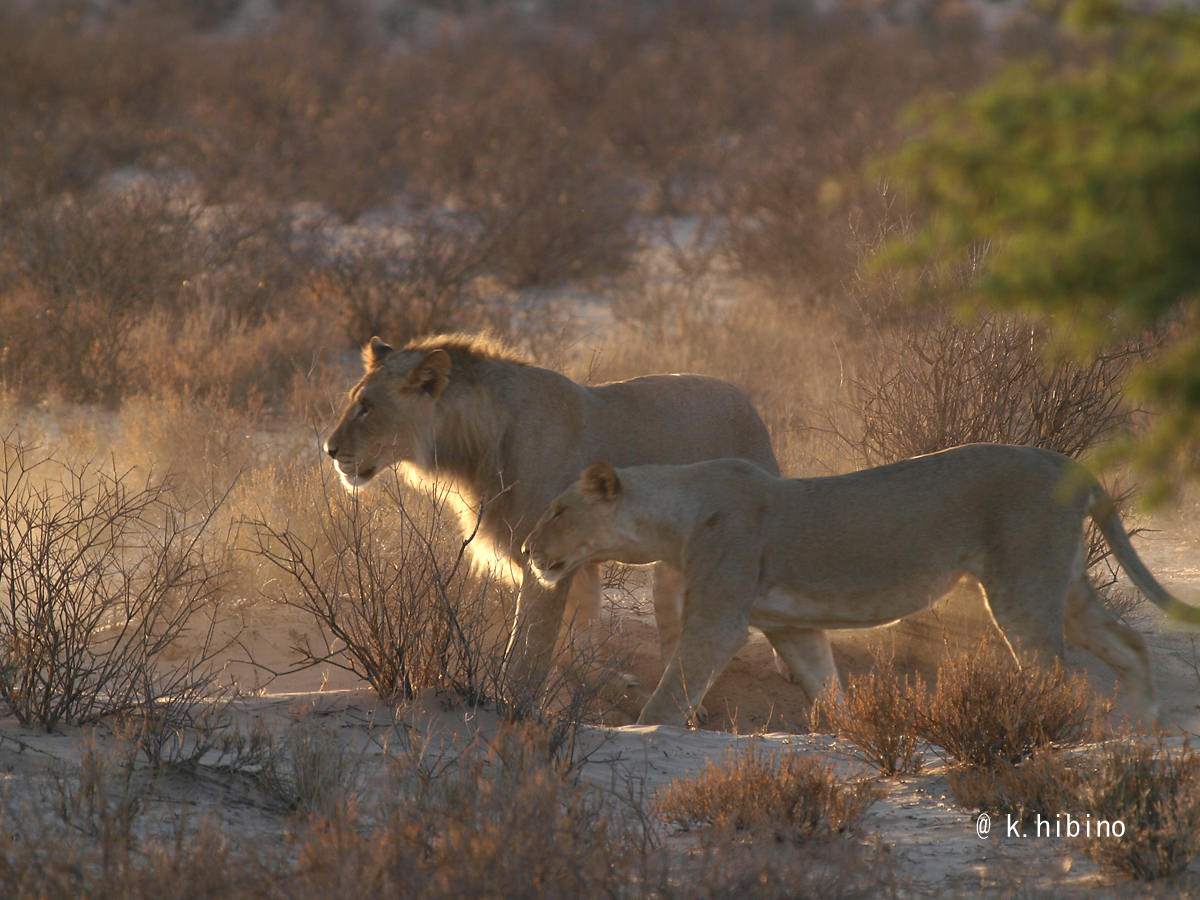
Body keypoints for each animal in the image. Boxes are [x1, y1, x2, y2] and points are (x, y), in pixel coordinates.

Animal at [326, 336, 777, 700]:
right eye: (353, 401)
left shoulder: (546, 561)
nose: (329, 450)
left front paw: (507, 706)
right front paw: (615, 685)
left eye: (366, 408)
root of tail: (748, 403)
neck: (471, 449)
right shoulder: (566, 564)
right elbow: (571, 648)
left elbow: (531, 648)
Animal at [523, 448, 1200, 729]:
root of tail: (1069, 463)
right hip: (1066, 587)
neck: (673, 515)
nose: (528, 549)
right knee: (1129, 644)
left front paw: (642, 733)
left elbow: (669, 700)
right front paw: (855, 730)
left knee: (1054, 674)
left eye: (556, 510)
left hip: (1020, 585)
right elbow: (827, 690)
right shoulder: (792, 626)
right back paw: (1145, 728)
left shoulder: (718, 619)